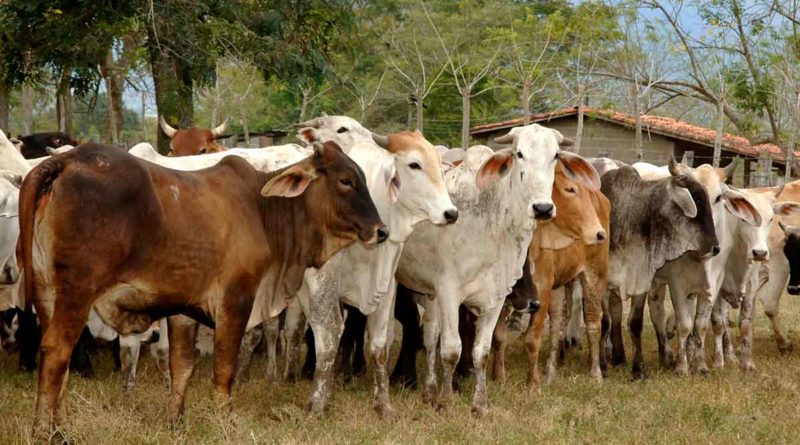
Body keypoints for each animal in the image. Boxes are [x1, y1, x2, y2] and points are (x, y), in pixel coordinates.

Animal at [21, 140, 388, 436]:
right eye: (345, 180)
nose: (381, 231)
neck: (262, 208)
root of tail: (67, 159)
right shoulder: (235, 300)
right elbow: (224, 369)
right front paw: (226, 421)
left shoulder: (183, 308)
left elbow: (182, 367)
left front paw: (175, 422)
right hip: (77, 293)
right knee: (56, 352)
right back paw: (46, 432)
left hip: (46, 292)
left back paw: (60, 424)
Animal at [396, 123, 596, 414]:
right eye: (519, 153)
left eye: (556, 155)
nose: (542, 208)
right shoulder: (449, 291)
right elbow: (452, 350)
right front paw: (448, 398)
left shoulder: (496, 297)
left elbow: (481, 351)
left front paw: (480, 404)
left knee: (430, 335)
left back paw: (429, 389)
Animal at [490, 162, 608, 388]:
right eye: (570, 189)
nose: (598, 233)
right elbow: (498, 336)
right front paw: (499, 379)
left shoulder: (542, 290)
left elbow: (531, 339)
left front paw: (533, 384)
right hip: (562, 285)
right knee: (557, 324)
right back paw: (550, 372)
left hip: (594, 273)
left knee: (592, 321)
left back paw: (596, 373)